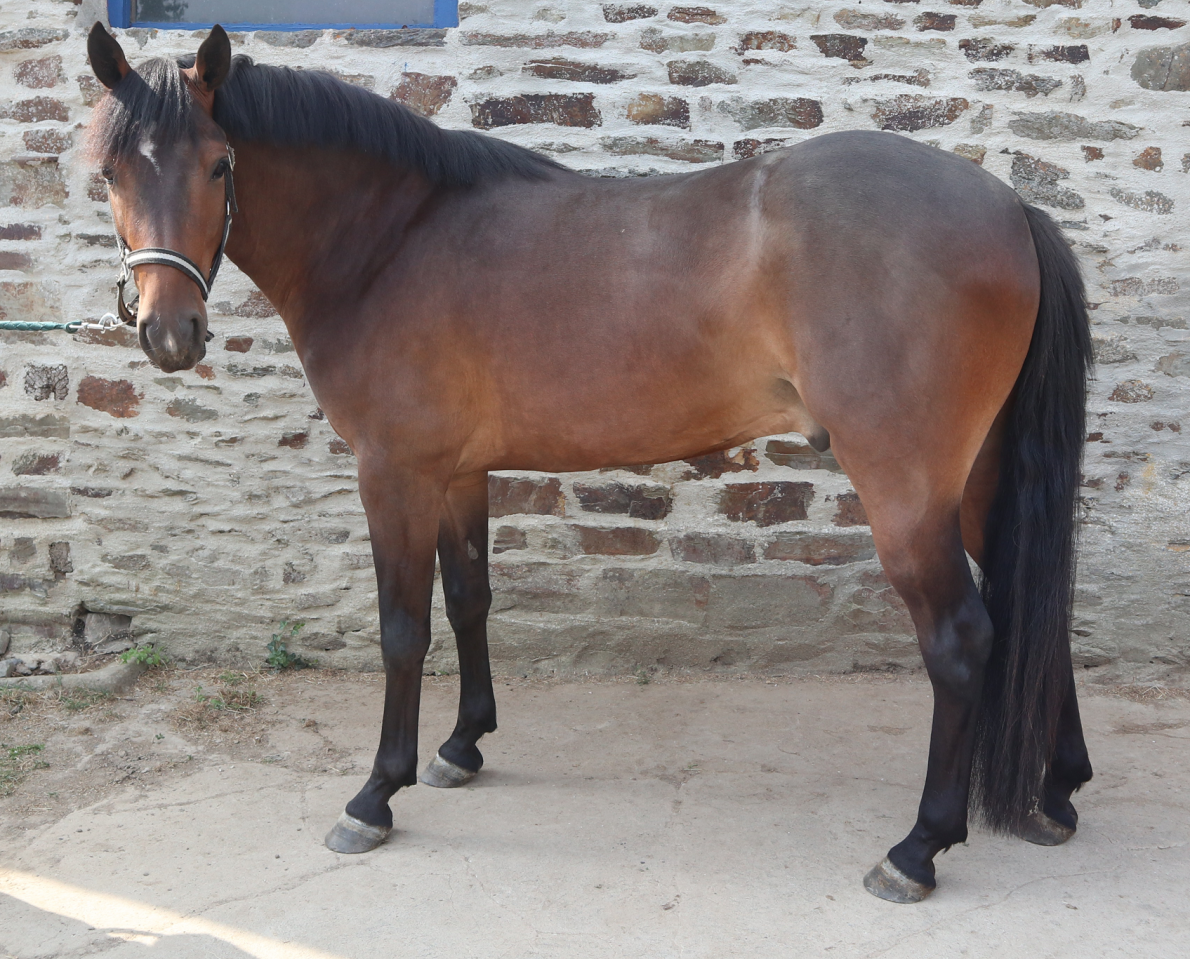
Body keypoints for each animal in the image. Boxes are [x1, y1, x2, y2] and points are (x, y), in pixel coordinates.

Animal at [85, 23, 1093, 903]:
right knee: (1032, 605)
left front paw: (377, 793)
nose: (169, 333)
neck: (392, 238)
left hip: (908, 492)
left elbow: (403, 628)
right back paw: (1055, 793)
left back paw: (919, 847)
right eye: (108, 172)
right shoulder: (456, 473)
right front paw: (463, 746)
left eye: (220, 165)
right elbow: (471, 598)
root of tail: (1010, 206)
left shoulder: (394, 472)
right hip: (979, 480)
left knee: (962, 638)